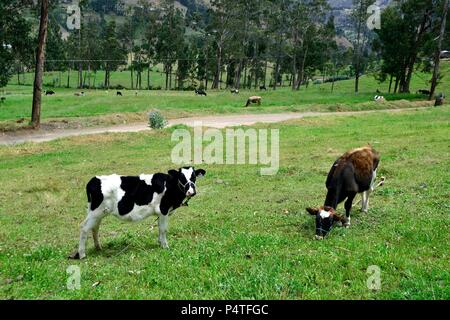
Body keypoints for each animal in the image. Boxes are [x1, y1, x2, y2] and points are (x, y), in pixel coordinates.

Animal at [69, 166, 207, 258]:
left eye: (194, 176)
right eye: (181, 177)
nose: (191, 191)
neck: (169, 185)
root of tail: (93, 180)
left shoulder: (161, 213)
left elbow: (159, 228)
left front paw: (160, 243)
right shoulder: (163, 210)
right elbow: (163, 229)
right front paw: (165, 246)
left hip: (98, 212)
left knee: (95, 227)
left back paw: (98, 247)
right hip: (96, 212)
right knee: (84, 227)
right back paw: (82, 254)